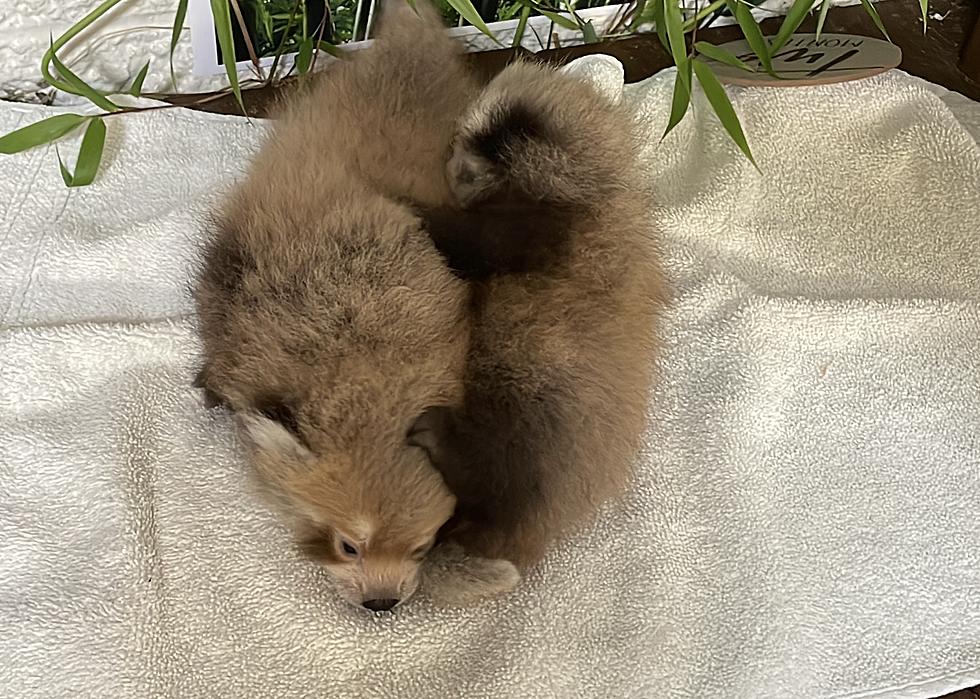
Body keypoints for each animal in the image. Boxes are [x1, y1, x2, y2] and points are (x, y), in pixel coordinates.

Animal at [414, 57, 668, 588]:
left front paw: (401, 201)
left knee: (477, 464)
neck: (588, 189)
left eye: (472, 159)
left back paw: (434, 434)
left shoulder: (532, 229)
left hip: (513, 405)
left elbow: (468, 240)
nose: (450, 168)